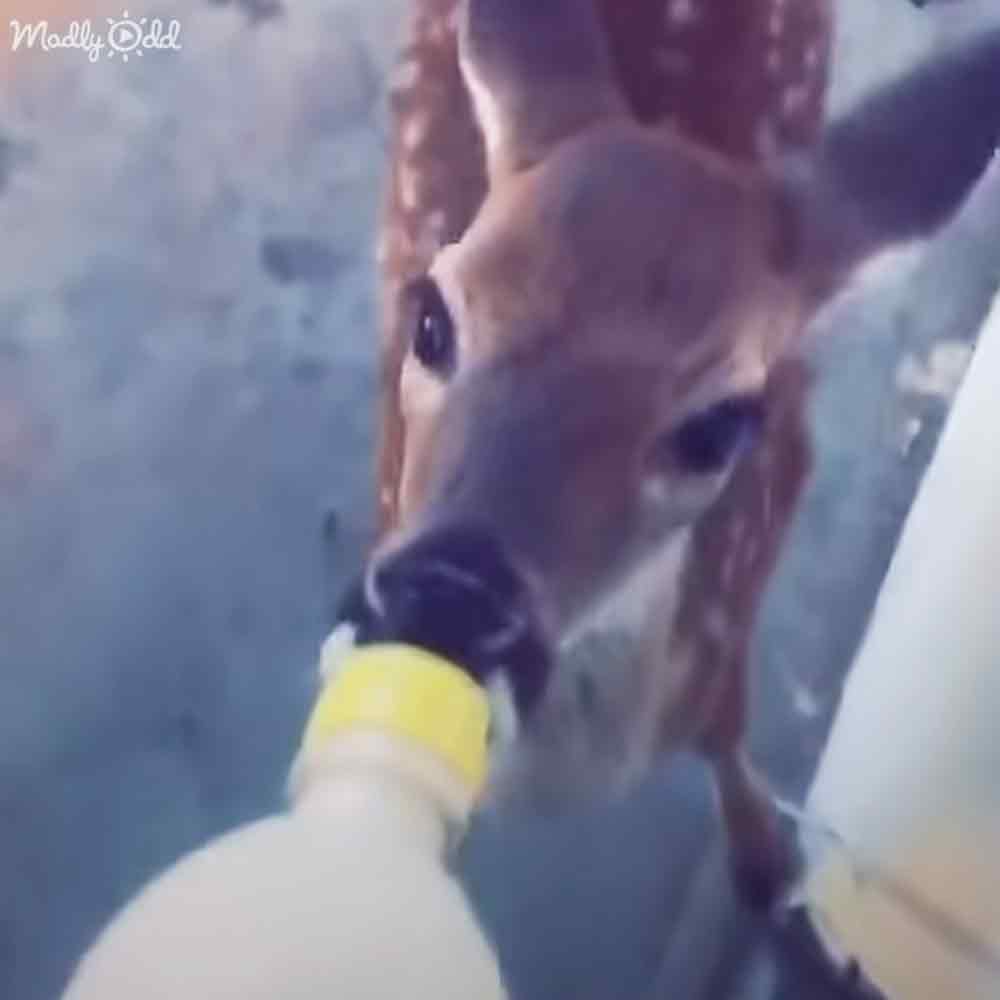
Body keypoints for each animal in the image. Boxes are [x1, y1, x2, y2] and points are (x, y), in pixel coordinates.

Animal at [330, 0, 1000, 913]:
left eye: (720, 426)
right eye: (429, 318)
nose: (446, 600)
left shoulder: (753, 555)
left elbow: (728, 725)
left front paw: (765, 863)